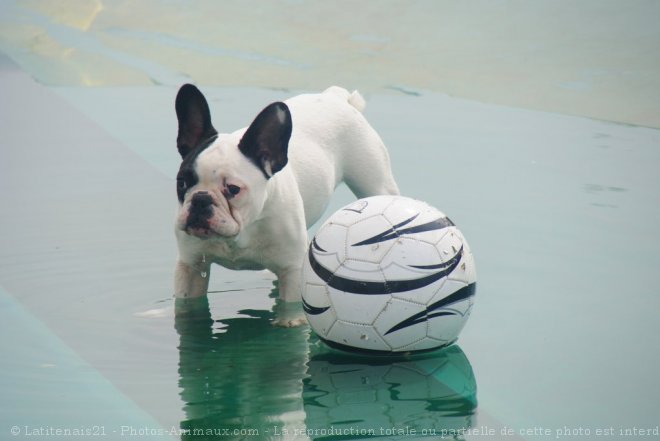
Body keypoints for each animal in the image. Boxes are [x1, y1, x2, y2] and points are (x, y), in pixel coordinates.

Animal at [174, 85, 398, 324]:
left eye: (233, 189)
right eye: (182, 182)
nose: (200, 199)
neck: (242, 231)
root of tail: (334, 96)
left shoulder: (292, 271)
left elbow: (291, 310)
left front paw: (288, 322)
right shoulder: (191, 267)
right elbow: (187, 304)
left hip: (376, 183)